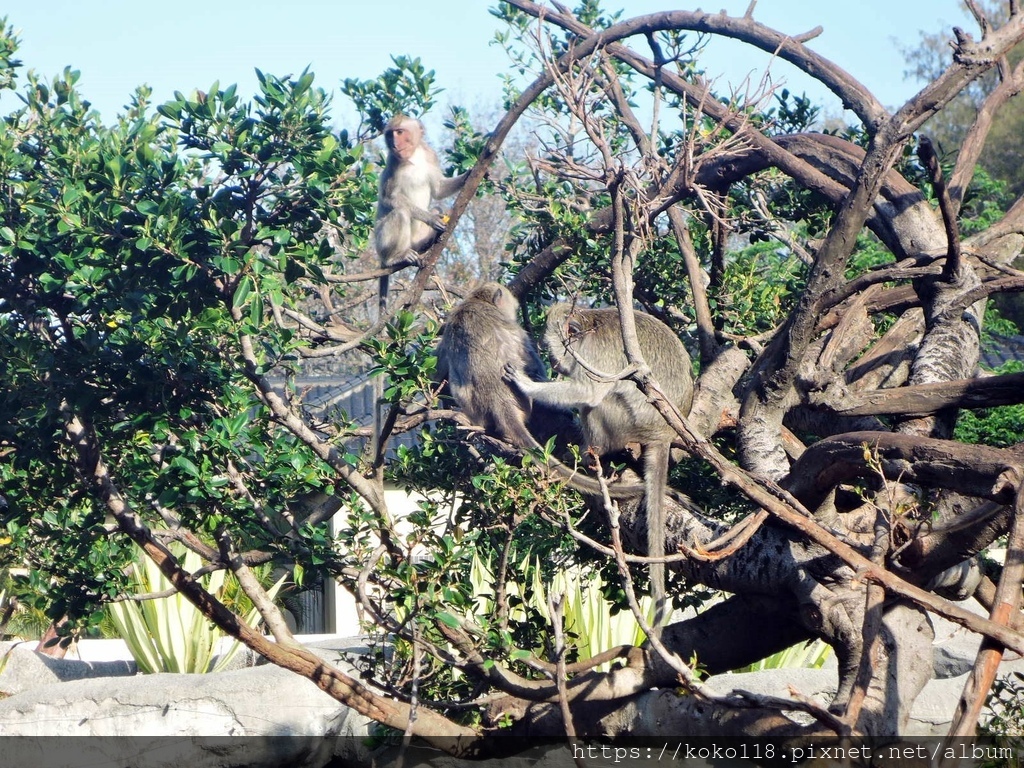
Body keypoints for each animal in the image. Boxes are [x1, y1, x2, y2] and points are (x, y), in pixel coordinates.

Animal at [503, 303, 696, 634]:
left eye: (552, 349)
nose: (555, 362)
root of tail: (664, 432)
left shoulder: (592, 356)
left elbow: (589, 392)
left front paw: (526, 385)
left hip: (626, 421)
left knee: (599, 401)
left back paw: (591, 452)